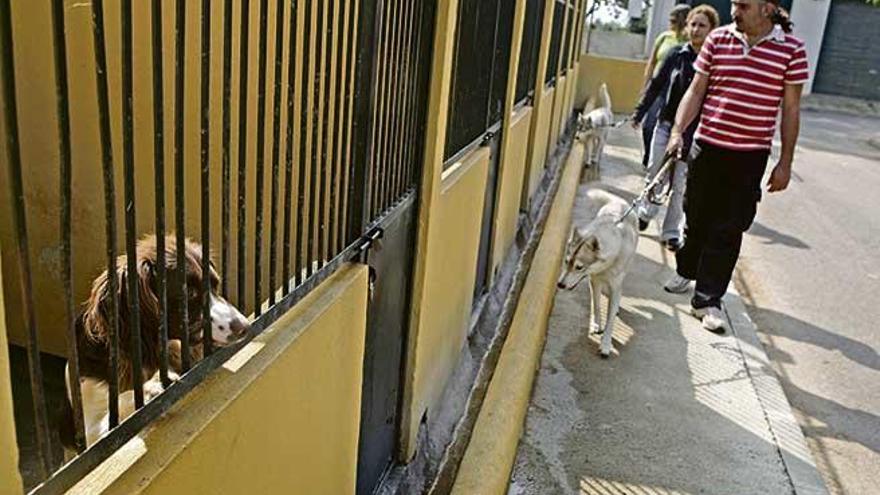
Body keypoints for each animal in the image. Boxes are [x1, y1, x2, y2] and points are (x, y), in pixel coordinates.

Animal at [556, 189, 640, 356]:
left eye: (579, 267)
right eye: (566, 262)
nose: (560, 285)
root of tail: (619, 201)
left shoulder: (615, 284)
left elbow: (611, 319)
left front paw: (606, 344)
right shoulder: (594, 280)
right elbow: (596, 304)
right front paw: (596, 324)